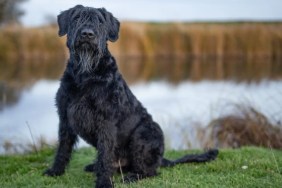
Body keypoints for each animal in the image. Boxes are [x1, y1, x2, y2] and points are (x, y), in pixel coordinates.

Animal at [43, 4, 218, 188]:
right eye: (77, 18)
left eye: (100, 21)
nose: (87, 34)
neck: (85, 74)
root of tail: (161, 159)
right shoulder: (65, 118)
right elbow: (63, 147)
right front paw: (55, 171)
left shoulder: (106, 121)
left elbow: (105, 155)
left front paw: (104, 182)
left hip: (144, 134)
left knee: (149, 171)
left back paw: (131, 177)